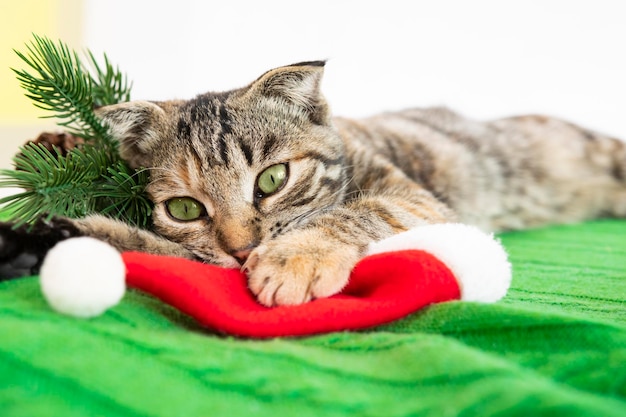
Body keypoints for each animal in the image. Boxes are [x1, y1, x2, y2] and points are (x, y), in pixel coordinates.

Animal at [1, 60, 624, 304]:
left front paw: (295, 259)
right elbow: (162, 253)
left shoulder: (415, 197)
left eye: (272, 179)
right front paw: (41, 236)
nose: (244, 248)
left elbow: (356, 212)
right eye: (185, 209)